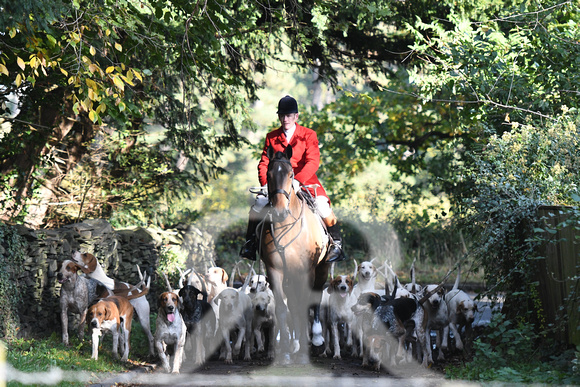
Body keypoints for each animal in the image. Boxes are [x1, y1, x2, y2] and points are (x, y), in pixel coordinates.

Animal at [260, 145, 330, 364]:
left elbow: (303, 305)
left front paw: (303, 354)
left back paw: (315, 339)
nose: (280, 211)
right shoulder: (275, 270)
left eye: (291, 175)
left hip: (321, 269)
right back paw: (295, 343)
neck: (286, 225)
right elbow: (283, 309)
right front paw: (285, 353)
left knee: (314, 298)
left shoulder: (306, 271)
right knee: (291, 302)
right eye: (268, 175)